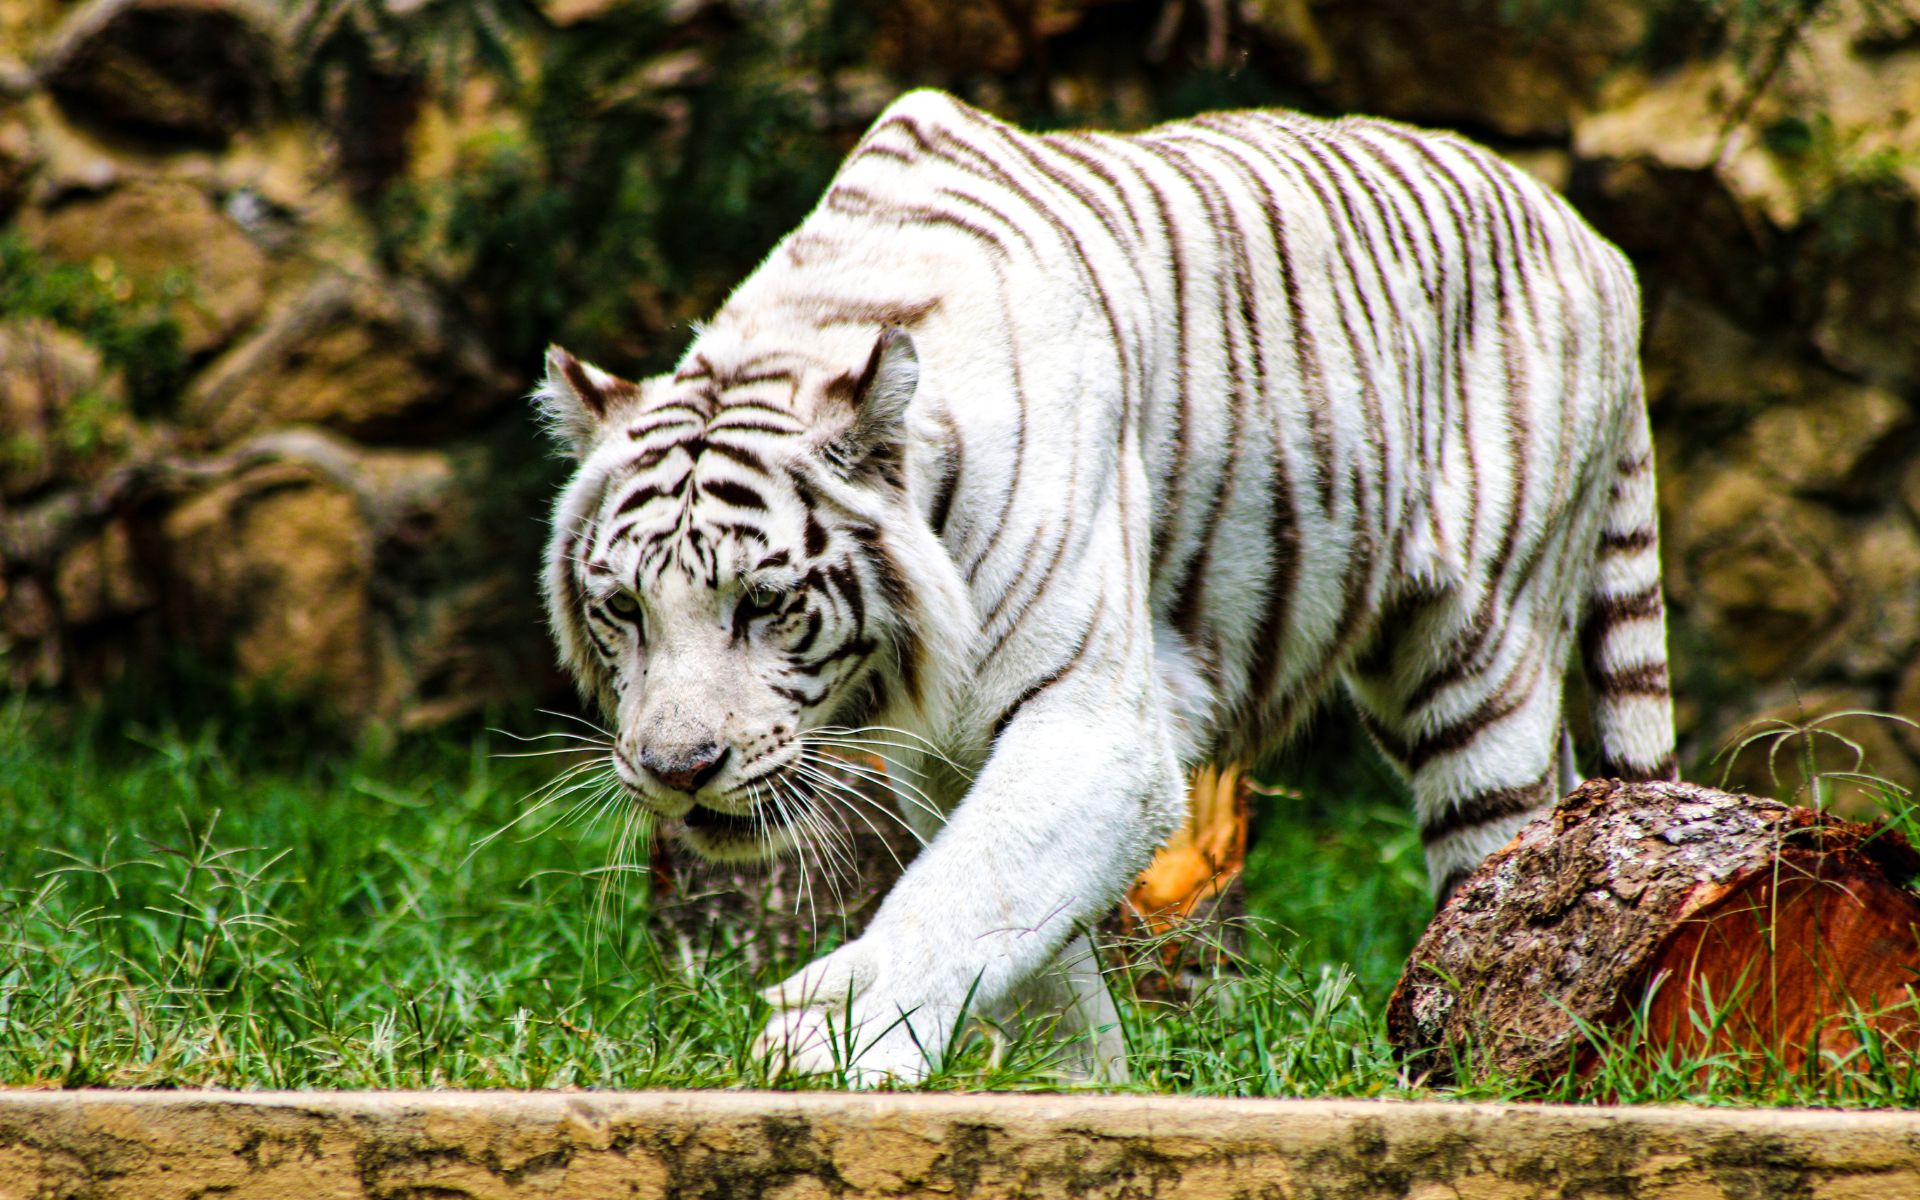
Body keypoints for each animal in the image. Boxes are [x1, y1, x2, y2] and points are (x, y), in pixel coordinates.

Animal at [533, 84, 1674, 1075]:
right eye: (624, 609)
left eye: (763, 605)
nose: (678, 767)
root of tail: (1601, 247)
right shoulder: (949, 753)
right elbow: (1024, 930)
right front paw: (1079, 1080)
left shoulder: (1095, 722)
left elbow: (969, 886)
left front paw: (829, 1044)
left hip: (1480, 660)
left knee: (1510, 838)